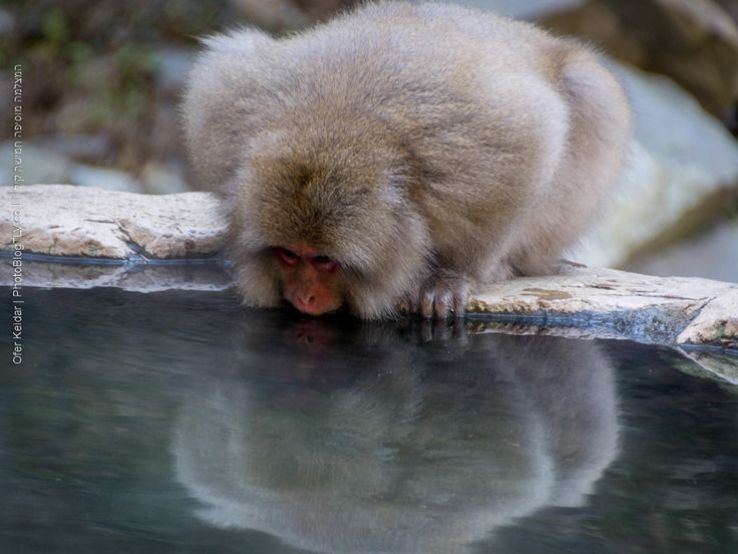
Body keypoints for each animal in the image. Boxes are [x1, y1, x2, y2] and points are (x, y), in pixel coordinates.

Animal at [182, 1, 631, 320]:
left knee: (588, 94)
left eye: (324, 261)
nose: (302, 297)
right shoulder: (231, 109)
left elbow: (537, 135)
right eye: (290, 255)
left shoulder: (483, 148)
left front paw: (452, 276)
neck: (338, 122)